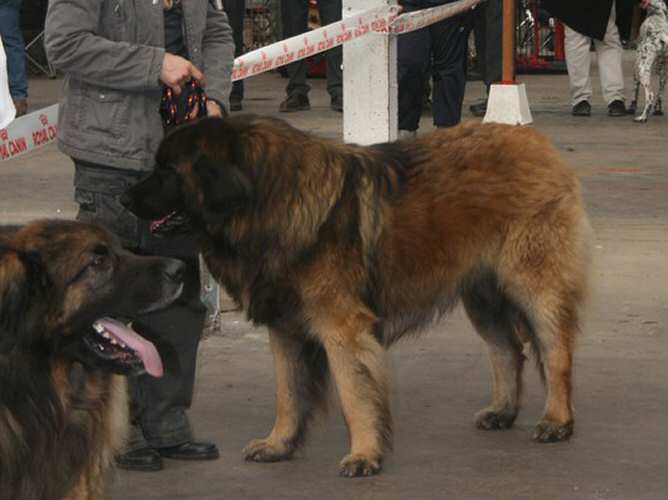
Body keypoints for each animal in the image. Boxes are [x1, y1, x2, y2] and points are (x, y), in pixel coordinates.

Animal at [123, 115, 592, 477]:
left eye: (167, 170)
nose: (125, 198)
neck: (266, 198)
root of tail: (537, 142)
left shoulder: (342, 327)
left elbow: (353, 392)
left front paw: (364, 454)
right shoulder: (286, 328)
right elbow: (287, 394)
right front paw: (279, 444)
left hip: (533, 283)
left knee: (555, 351)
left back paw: (557, 420)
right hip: (482, 294)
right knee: (507, 349)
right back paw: (502, 411)